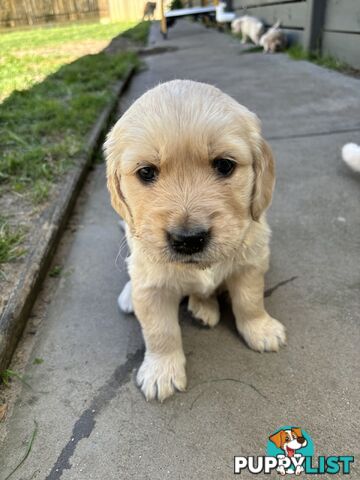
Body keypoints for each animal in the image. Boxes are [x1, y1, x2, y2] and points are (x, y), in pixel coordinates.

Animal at [104, 79, 286, 402]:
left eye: (224, 165)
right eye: (146, 172)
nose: (188, 239)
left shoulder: (251, 263)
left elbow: (250, 301)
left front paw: (260, 329)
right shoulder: (151, 286)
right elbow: (160, 331)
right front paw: (161, 371)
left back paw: (204, 307)